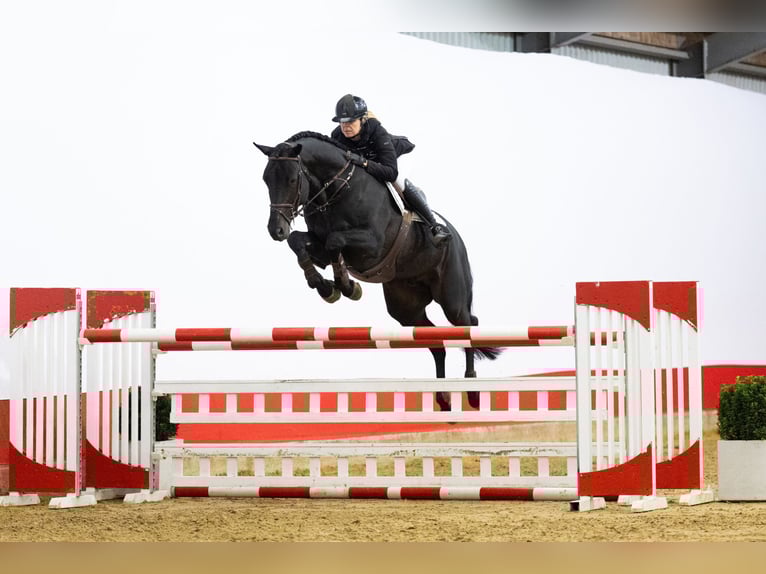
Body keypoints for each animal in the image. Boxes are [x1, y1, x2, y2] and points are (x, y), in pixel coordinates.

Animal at [254, 131, 501, 410]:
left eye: (293, 179)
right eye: (266, 179)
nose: (276, 230)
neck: (335, 191)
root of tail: (456, 237)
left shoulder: (371, 245)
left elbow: (334, 242)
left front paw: (346, 285)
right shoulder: (317, 242)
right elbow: (299, 242)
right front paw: (326, 286)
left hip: (452, 296)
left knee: (467, 324)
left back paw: (472, 388)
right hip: (405, 308)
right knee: (435, 342)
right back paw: (443, 396)